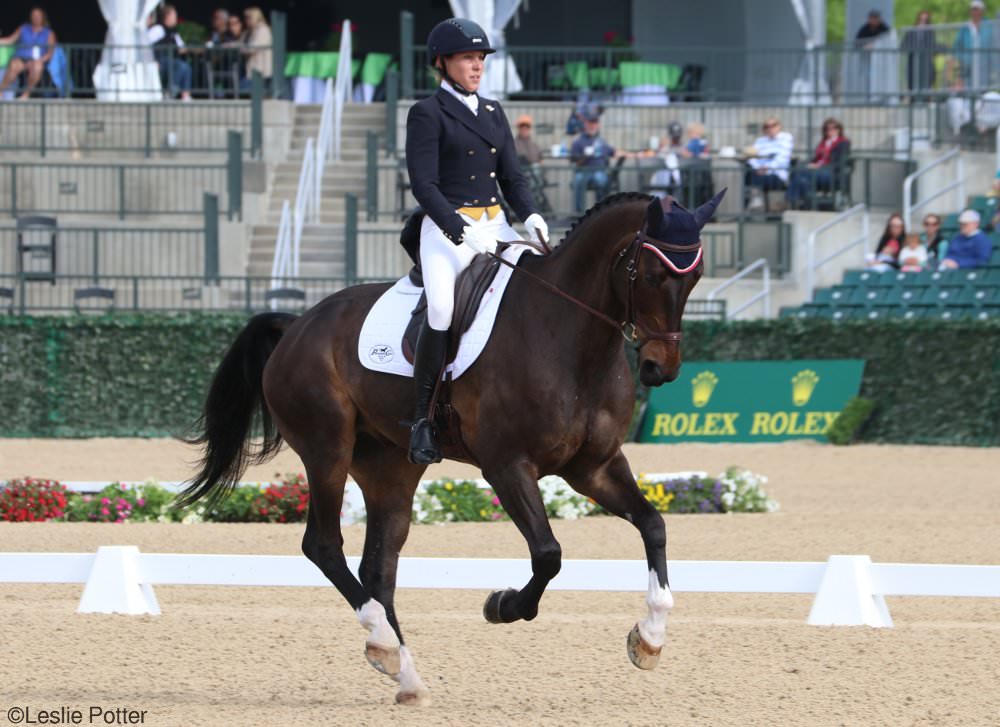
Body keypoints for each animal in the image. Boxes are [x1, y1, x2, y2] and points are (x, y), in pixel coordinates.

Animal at [180, 191, 724, 708]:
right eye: (652, 273)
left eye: (695, 276)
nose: (660, 368)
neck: (569, 335)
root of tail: (298, 325)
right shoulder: (507, 467)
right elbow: (549, 554)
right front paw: (502, 605)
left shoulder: (596, 468)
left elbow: (653, 526)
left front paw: (649, 639)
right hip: (325, 450)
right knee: (323, 545)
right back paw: (382, 642)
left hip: (389, 468)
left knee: (378, 566)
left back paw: (405, 674)